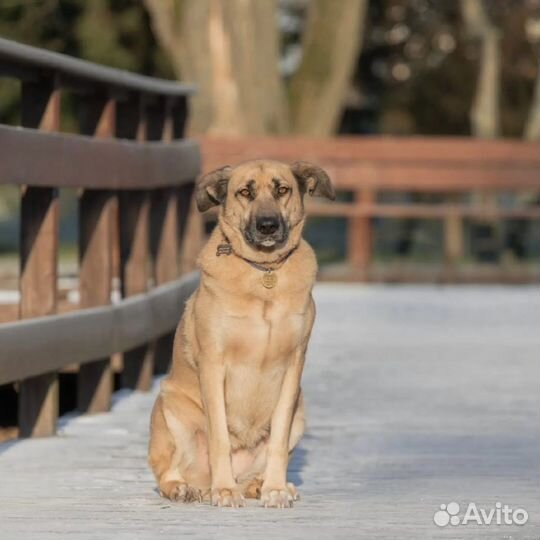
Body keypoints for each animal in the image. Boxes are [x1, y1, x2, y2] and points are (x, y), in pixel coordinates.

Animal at [148, 158, 334, 508]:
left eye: (282, 189)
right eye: (244, 192)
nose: (267, 225)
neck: (264, 273)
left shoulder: (293, 367)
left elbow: (278, 440)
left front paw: (275, 489)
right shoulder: (213, 364)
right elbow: (220, 437)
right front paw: (224, 491)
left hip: (300, 413)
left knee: (256, 469)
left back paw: (262, 485)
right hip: (170, 407)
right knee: (168, 472)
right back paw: (190, 488)